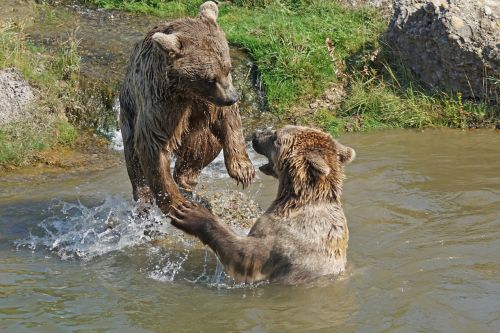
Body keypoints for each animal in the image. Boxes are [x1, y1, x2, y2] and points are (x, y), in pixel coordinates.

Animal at [119, 1, 256, 214]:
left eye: (228, 69)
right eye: (210, 78)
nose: (232, 98)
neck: (188, 90)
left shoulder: (208, 103)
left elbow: (230, 121)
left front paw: (243, 170)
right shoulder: (162, 102)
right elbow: (153, 146)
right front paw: (177, 203)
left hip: (199, 134)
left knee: (201, 147)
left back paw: (185, 178)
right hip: (128, 112)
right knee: (133, 157)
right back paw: (145, 197)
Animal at [171, 124, 356, 282]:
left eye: (275, 137)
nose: (256, 134)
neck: (295, 199)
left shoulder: (286, 239)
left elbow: (245, 255)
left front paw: (190, 213)